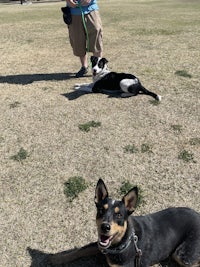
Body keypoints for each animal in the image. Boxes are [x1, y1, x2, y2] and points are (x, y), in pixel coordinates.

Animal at [48, 180, 200, 267]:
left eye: (119, 215)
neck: (122, 242)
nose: (105, 227)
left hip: (183, 254)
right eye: (101, 211)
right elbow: (80, 250)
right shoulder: (100, 244)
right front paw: (57, 259)